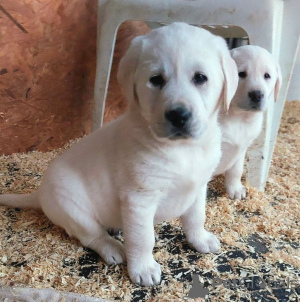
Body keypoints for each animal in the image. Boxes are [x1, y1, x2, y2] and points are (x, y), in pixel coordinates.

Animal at [0, 23, 239, 286]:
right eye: (156, 80)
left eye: (200, 78)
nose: (178, 115)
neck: (183, 149)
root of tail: (39, 194)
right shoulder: (139, 199)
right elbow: (143, 238)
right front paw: (143, 268)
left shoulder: (198, 187)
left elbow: (196, 217)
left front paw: (200, 240)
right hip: (71, 207)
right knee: (92, 236)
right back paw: (113, 247)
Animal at [213, 44, 282, 199]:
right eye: (241, 74)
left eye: (267, 76)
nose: (257, 95)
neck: (240, 117)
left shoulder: (241, 148)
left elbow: (236, 171)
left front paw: (235, 189)